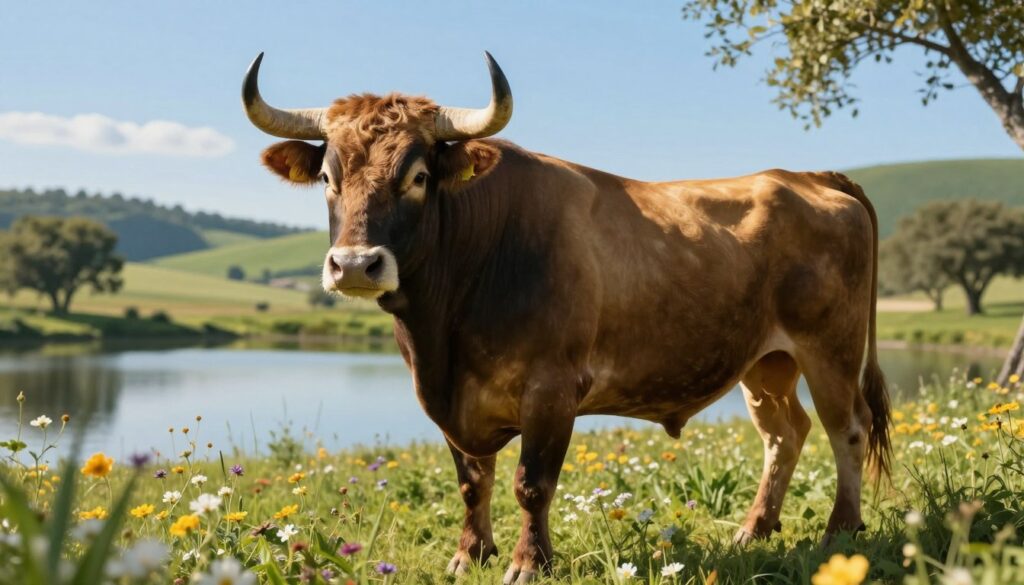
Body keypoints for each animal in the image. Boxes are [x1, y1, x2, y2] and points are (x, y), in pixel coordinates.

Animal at [242, 52, 891, 583]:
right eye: (329, 178)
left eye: (419, 176)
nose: (355, 264)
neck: (444, 329)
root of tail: (803, 176)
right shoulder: (447, 398)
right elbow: (472, 480)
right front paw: (469, 556)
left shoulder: (551, 388)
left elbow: (532, 484)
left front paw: (529, 563)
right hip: (766, 362)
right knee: (784, 433)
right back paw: (752, 530)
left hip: (829, 349)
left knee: (847, 429)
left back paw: (838, 532)